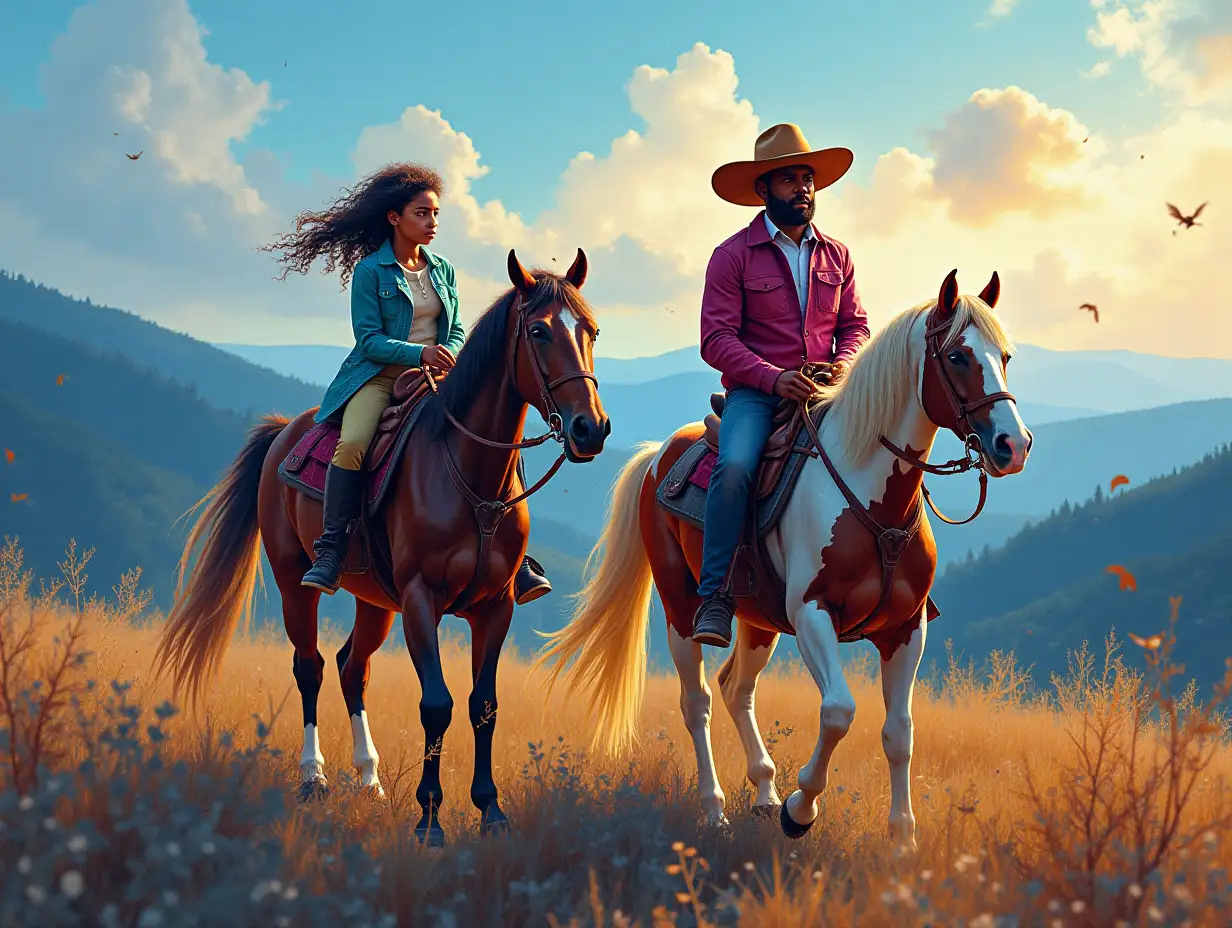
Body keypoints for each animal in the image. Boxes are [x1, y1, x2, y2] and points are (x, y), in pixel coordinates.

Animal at [156, 250, 608, 842]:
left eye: (591, 331)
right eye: (539, 331)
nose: (590, 429)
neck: (468, 471)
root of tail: (286, 431)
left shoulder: (496, 607)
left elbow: (483, 705)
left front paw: (490, 811)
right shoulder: (420, 599)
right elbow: (436, 703)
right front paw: (430, 817)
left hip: (375, 602)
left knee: (353, 668)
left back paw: (368, 779)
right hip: (295, 585)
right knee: (310, 667)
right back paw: (314, 778)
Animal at [539, 266, 1029, 847]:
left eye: (1005, 356)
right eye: (956, 356)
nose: (1013, 445)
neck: (869, 493)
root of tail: (660, 455)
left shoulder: (906, 629)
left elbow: (899, 732)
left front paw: (902, 840)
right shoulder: (813, 614)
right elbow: (838, 711)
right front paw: (800, 810)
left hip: (758, 621)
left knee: (736, 689)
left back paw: (764, 790)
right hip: (682, 608)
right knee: (697, 702)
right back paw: (717, 810)